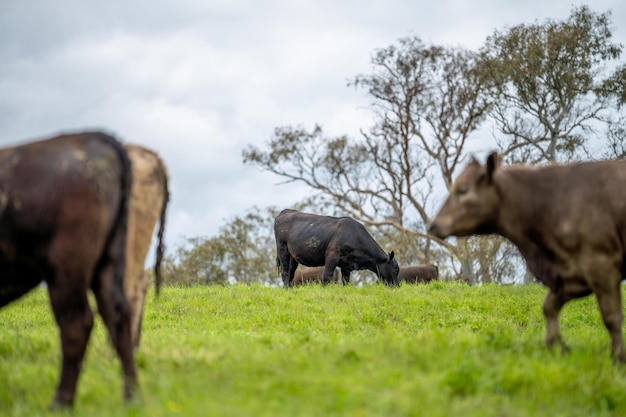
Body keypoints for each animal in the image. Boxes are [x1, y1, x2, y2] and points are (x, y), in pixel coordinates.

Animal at [0, 132, 136, 404]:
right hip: (106, 264)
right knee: (117, 316)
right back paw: (131, 398)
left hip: (67, 270)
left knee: (76, 322)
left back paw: (60, 402)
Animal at [270, 208, 398, 286]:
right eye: (396, 269)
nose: (397, 285)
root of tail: (286, 211)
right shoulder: (332, 255)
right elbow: (327, 276)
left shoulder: (347, 265)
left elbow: (346, 281)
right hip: (282, 249)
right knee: (285, 272)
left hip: (293, 256)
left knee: (291, 273)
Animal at [428, 152, 626, 360]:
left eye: (463, 190)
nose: (433, 225)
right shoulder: (570, 276)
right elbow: (549, 306)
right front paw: (558, 345)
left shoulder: (601, 265)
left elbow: (612, 317)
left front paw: (618, 358)